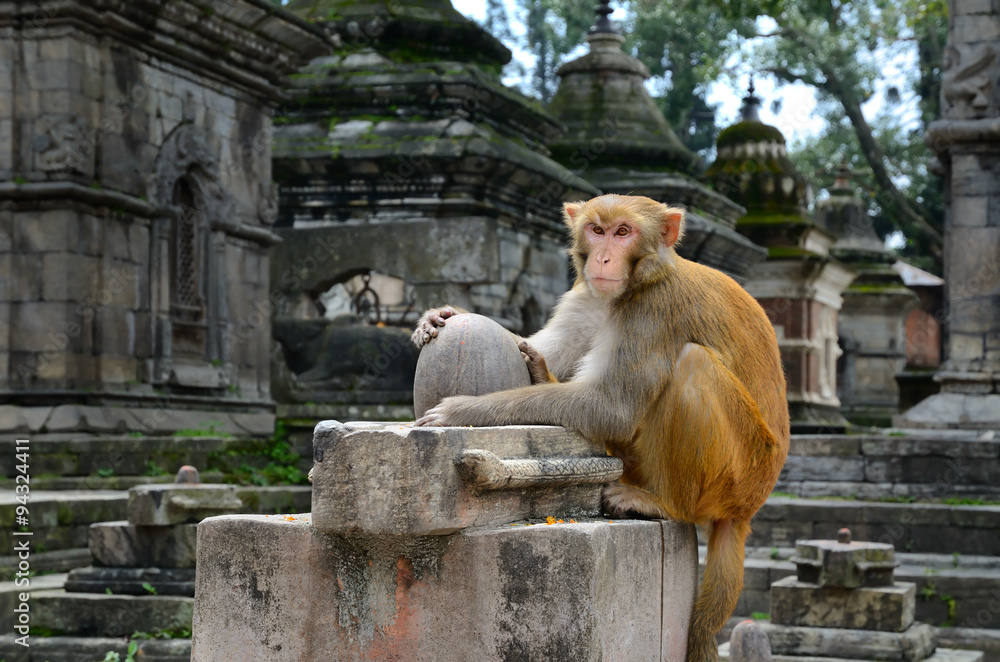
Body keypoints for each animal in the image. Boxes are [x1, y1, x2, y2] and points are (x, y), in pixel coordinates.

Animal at [411, 194, 790, 662]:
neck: (631, 287)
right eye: (597, 230)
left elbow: (612, 408)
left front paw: (463, 410)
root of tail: (747, 510)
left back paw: (664, 504)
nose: (604, 257)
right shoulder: (584, 298)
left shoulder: (655, 309)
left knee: (692, 365)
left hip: (739, 475)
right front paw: (445, 315)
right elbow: (544, 352)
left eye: (624, 232)